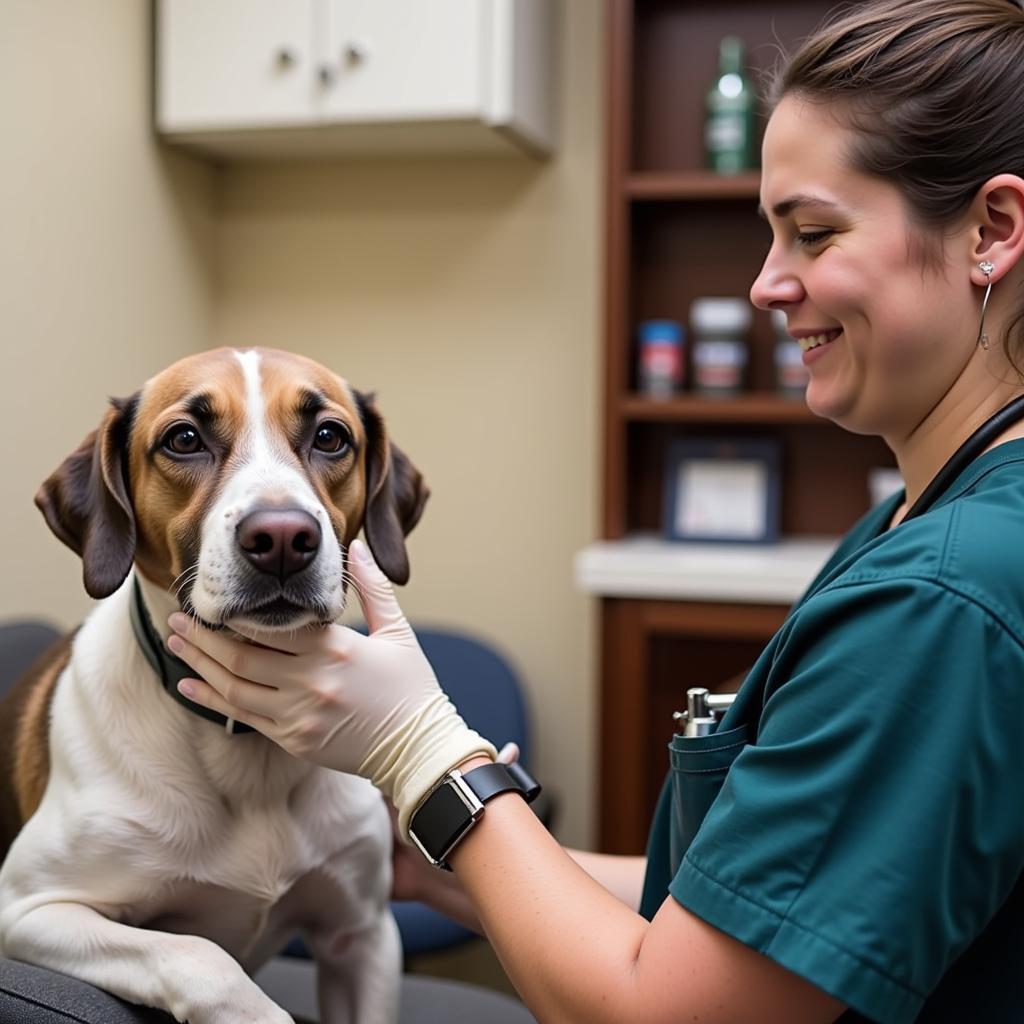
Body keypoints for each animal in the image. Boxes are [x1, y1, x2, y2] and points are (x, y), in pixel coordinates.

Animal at [0, 348, 428, 1019]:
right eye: (184, 439)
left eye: (330, 437)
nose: (282, 539)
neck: (247, 743)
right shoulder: (31, 910)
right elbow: (201, 957)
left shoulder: (362, 935)